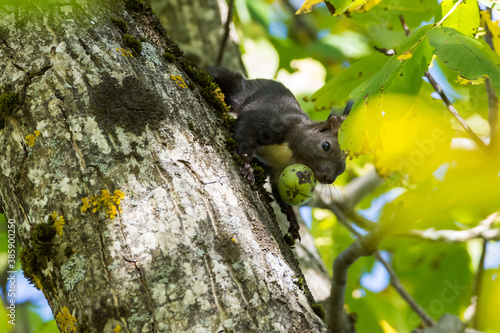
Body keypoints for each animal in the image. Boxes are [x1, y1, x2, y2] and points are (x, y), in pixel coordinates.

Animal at [208, 67, 352, 239]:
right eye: (326, 145)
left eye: (342, 169)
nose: (329, 179)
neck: (290, 152)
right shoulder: (268, 119)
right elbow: (246, 132)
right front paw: (247, 165)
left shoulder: (280, 169)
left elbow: (277, 188)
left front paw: (292, 218)